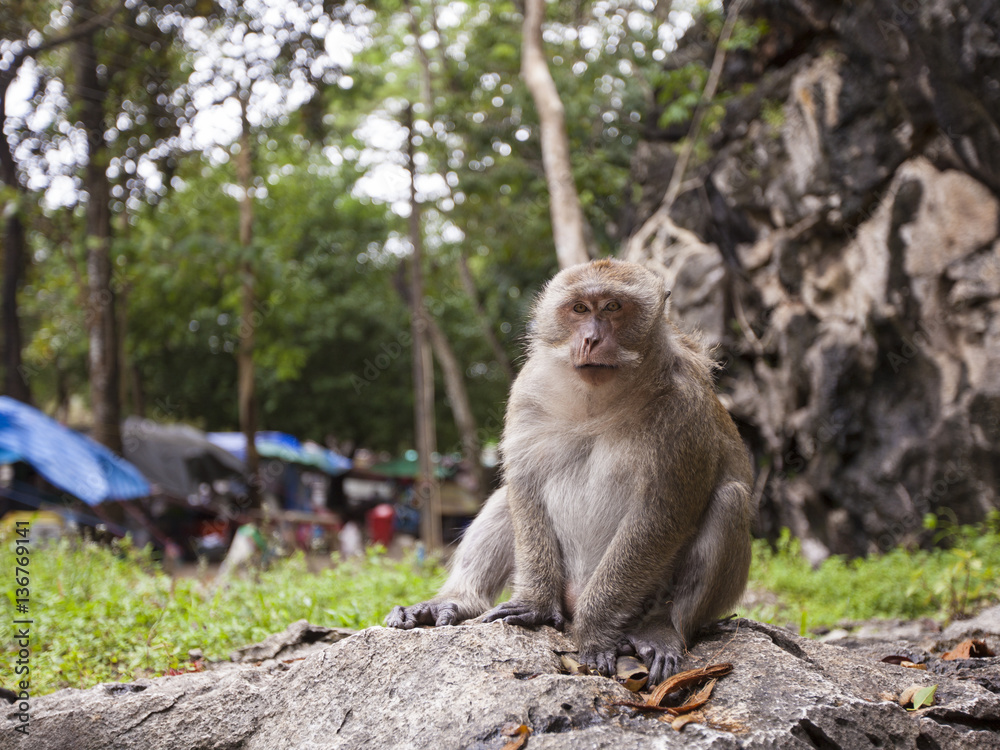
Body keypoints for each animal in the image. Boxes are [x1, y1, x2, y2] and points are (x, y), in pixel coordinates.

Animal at [387, 258, 754, 683]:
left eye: (612, 307)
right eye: (579, 309)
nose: (591, 339)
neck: (601, 399)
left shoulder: (685, 406)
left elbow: (663, 514)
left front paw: (594, 631)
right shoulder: (528, 388)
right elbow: (524, 485)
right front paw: (534, 604)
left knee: (730, 500)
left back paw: (662, 627)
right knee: (506, 499)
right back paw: (459, 601)